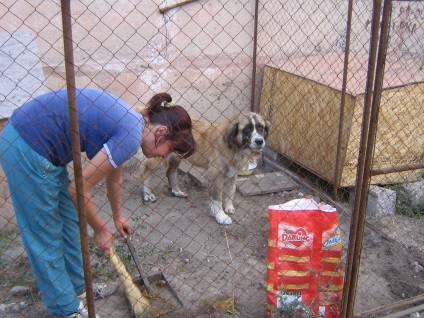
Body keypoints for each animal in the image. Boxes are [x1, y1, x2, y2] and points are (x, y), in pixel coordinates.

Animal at [137, 113, 268, 225]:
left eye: (261, 128)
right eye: (247, 129)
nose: (260, 141)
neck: (234, 146)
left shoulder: (233, 173)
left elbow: (231, 191)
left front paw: (228, 206)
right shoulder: (217, 176)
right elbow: (217, 198)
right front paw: (221, 216)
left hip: (176, 157)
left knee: (170, 173)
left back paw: (176, 191)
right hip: (157, 158)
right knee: (145, 174)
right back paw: (147, 194)